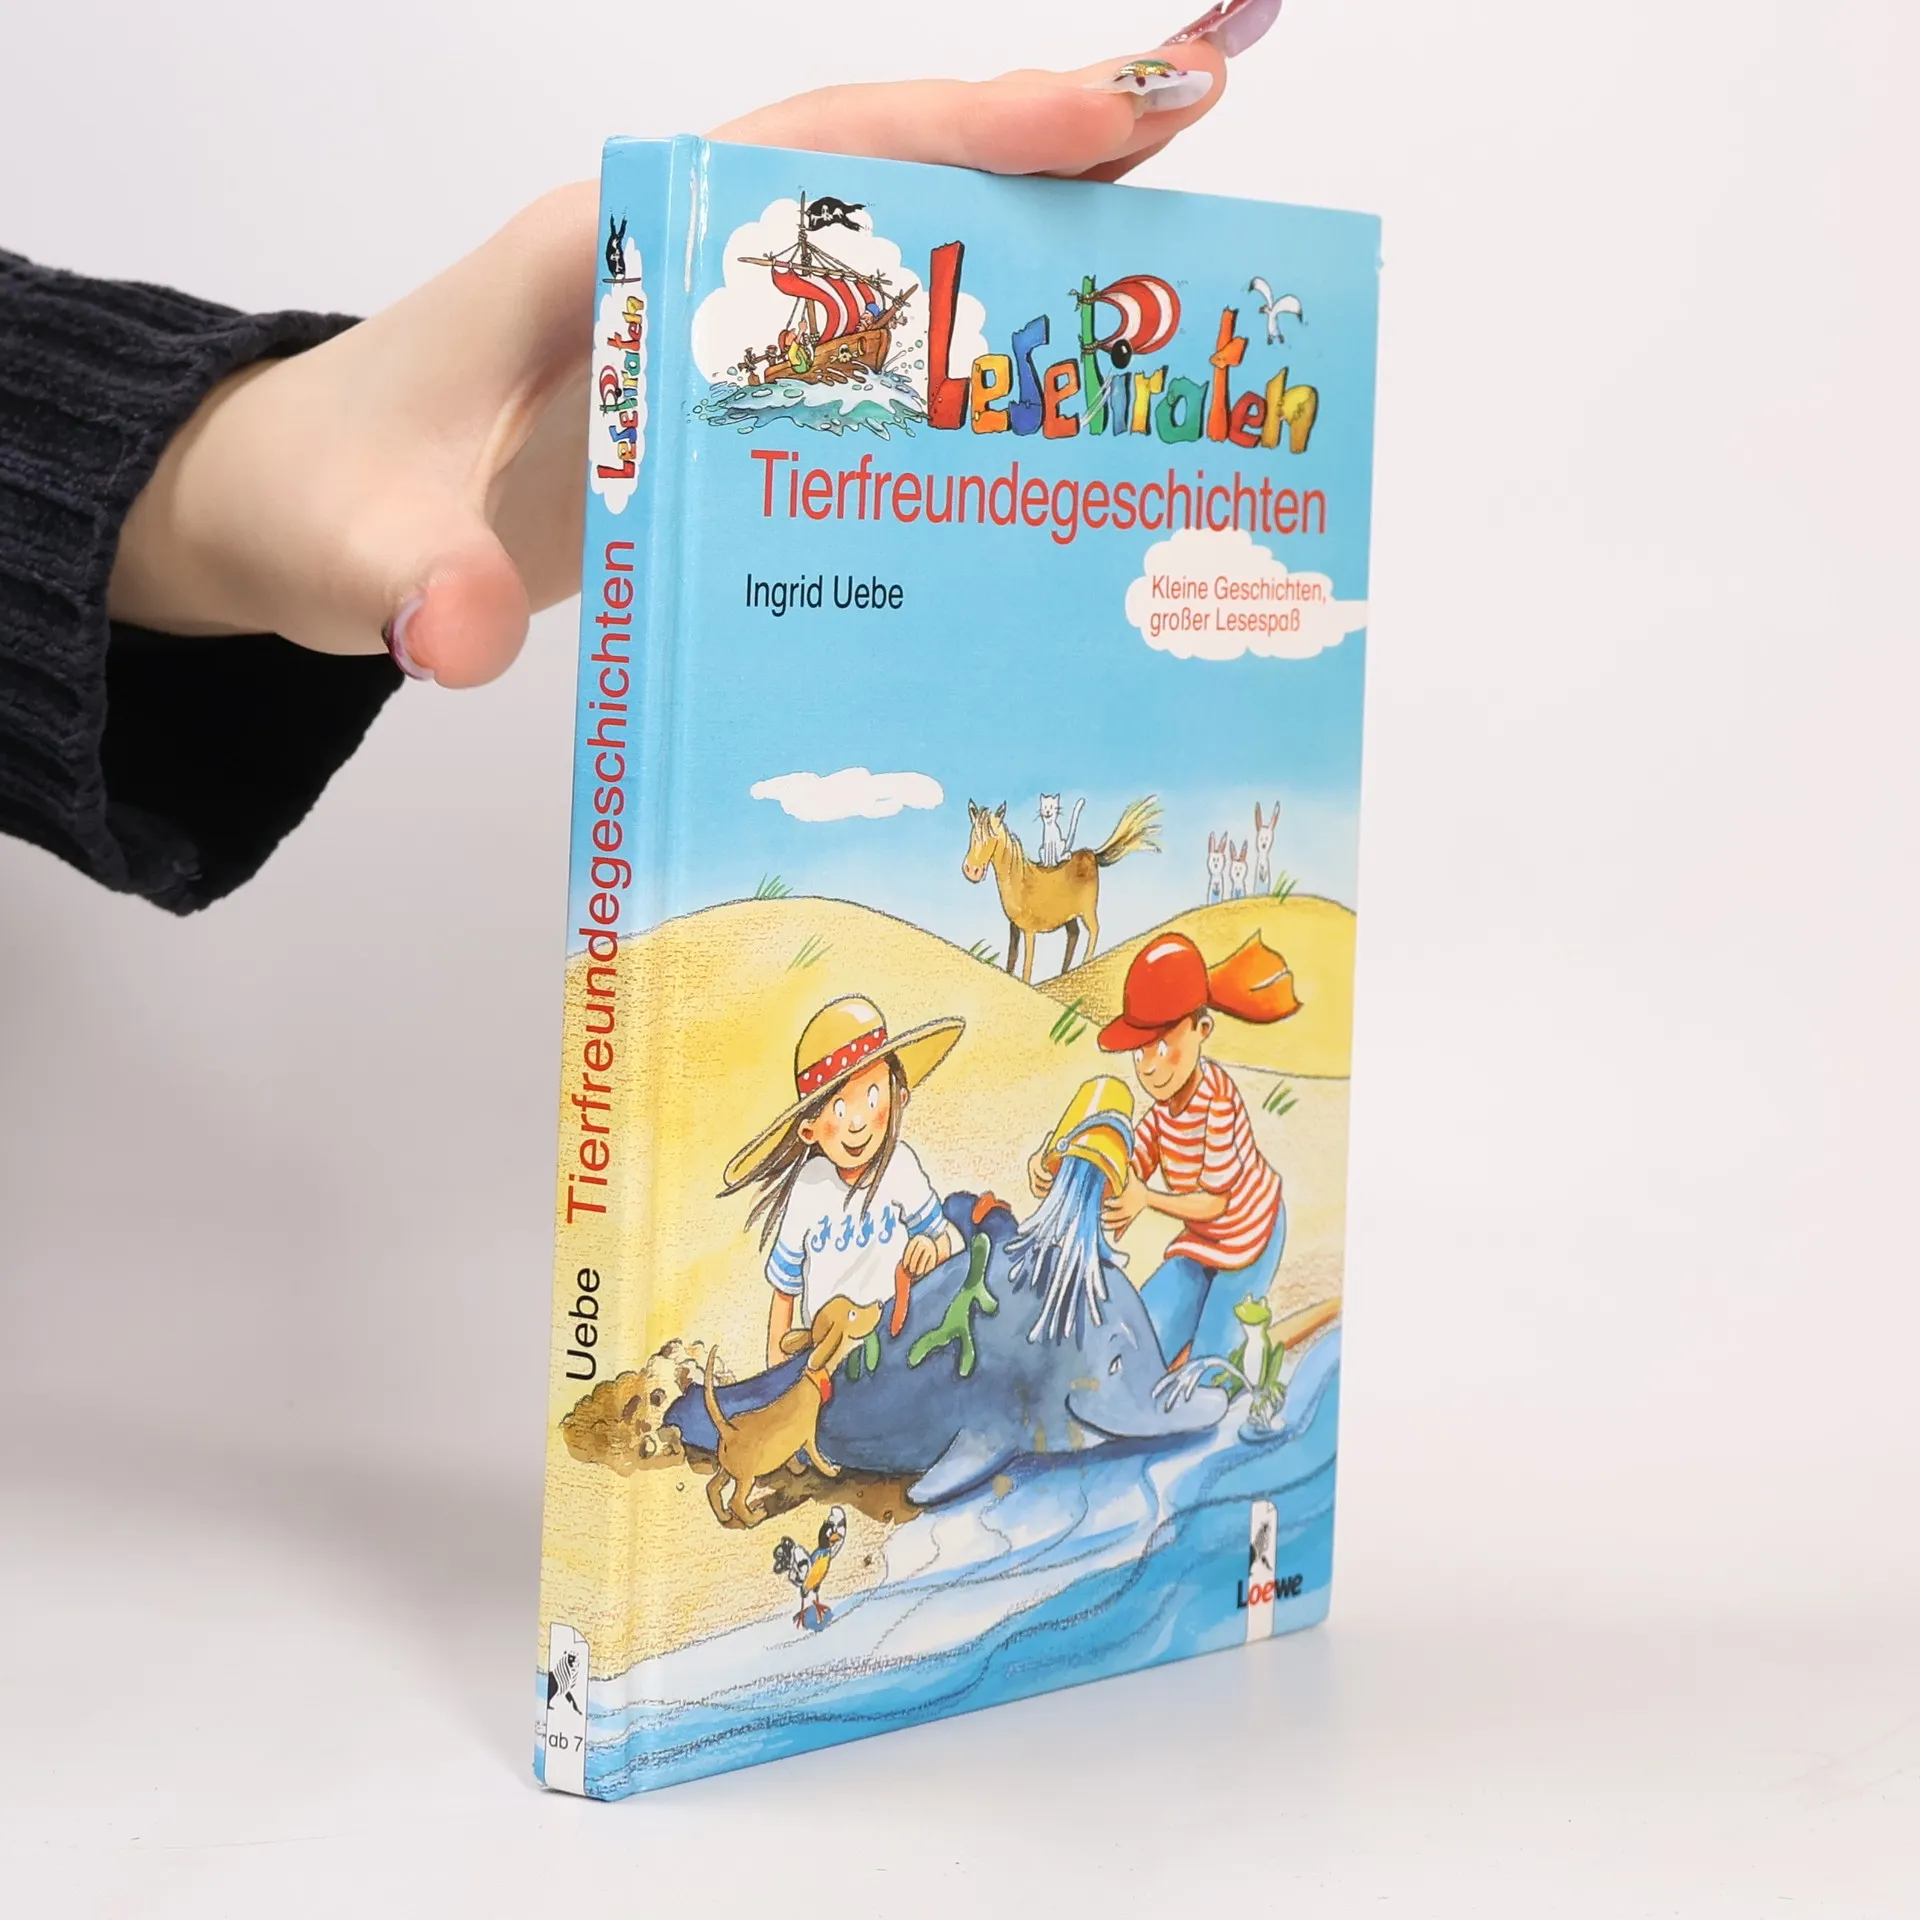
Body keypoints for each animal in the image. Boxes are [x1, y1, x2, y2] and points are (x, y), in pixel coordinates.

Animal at [703, 1296, 883, 1528]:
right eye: (852, 1314)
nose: (879, 1304)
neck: (812, 1381)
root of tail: (728, 1429)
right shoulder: (809, 1436)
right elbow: (816, 1456)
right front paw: (830, 1469)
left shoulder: (791, 1441)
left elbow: (791, 1457)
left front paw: (797, 1469)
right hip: (745, 1478)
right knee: (736, 1500)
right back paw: (753, 1518)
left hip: (726, 1469)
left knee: (712, 1487)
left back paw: (723, 1516)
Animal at [963, 798, 1161, 982]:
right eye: (972, 835)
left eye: (993, 837)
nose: (971, 871)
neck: (1019, 880)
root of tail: (1092, 854)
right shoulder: (1014, 927)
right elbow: (1011, 961)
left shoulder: (1029, 931)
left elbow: (1027, 967)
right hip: (1070, 916)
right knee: (1074, 935)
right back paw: (1064, 973)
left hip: (1087, 910)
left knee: (1094, 930)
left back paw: (1084, 964)